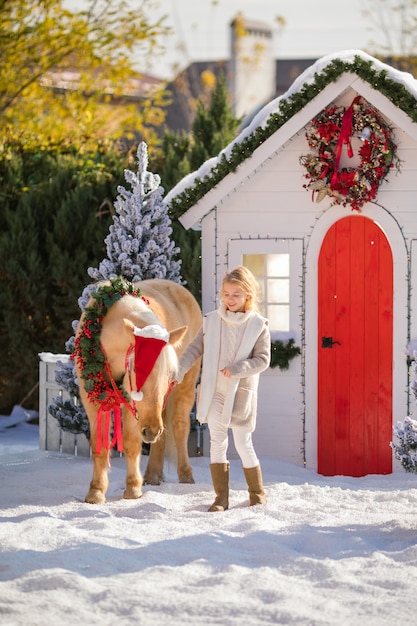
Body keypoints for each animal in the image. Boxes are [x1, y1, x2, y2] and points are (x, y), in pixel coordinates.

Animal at [75, 278, 203, 502]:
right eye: (136, 368)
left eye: (170, 372)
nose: (151, 430)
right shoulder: (91, 398)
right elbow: (100, 445)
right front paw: (96, 492)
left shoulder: (132, 404)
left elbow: (132, 442)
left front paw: (133, 488)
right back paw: (153, 475)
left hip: (184, 388)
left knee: (179, 426)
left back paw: (185, 475)